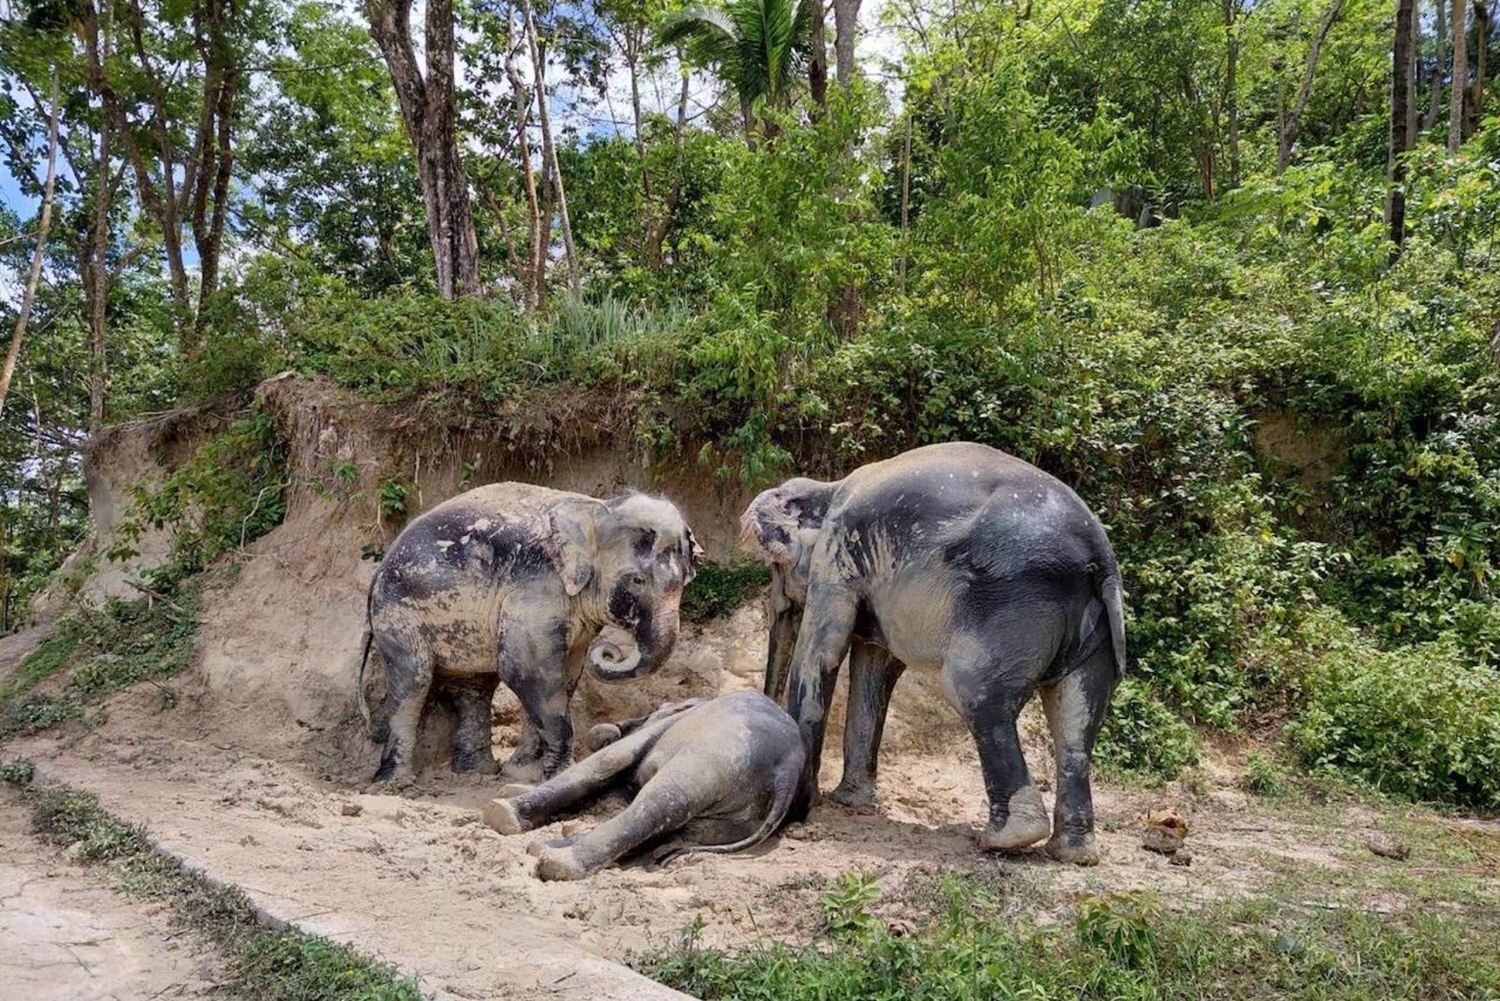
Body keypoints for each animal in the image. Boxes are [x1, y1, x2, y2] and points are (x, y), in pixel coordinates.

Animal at [355, 483, 701, 784]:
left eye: (686, 580)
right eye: (636, 581)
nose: (610, 651)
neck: (596, 508)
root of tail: (376, 573)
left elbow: (564, 677)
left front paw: (523, 774)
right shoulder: (535, 588)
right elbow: (528, 672)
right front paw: (558, 774)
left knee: (475, 686)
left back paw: (476, 772)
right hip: (398, 613)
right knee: (414, 680)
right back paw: (396, 783)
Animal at [481, 690, 804, 880]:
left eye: (658, 708)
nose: (614, 726)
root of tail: (788, 770)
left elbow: (608, 761)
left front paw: (502, 806)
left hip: (716, 755)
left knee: (662, 803)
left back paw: (556, 862)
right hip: (737, 816)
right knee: (668, 830)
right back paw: (543, 847)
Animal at [739, 442, 1126, 865]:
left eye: (776, 567)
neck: (829, 487)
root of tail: (1101, 559)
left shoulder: (837, 555)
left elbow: (823, 654)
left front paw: (804, 812)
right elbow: (875, 669)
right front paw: (849, 803)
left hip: (1011, 605)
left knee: (973, 691)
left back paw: (1005, 840)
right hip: (1095, 630)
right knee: (1076, 720)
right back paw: (1072, 853)